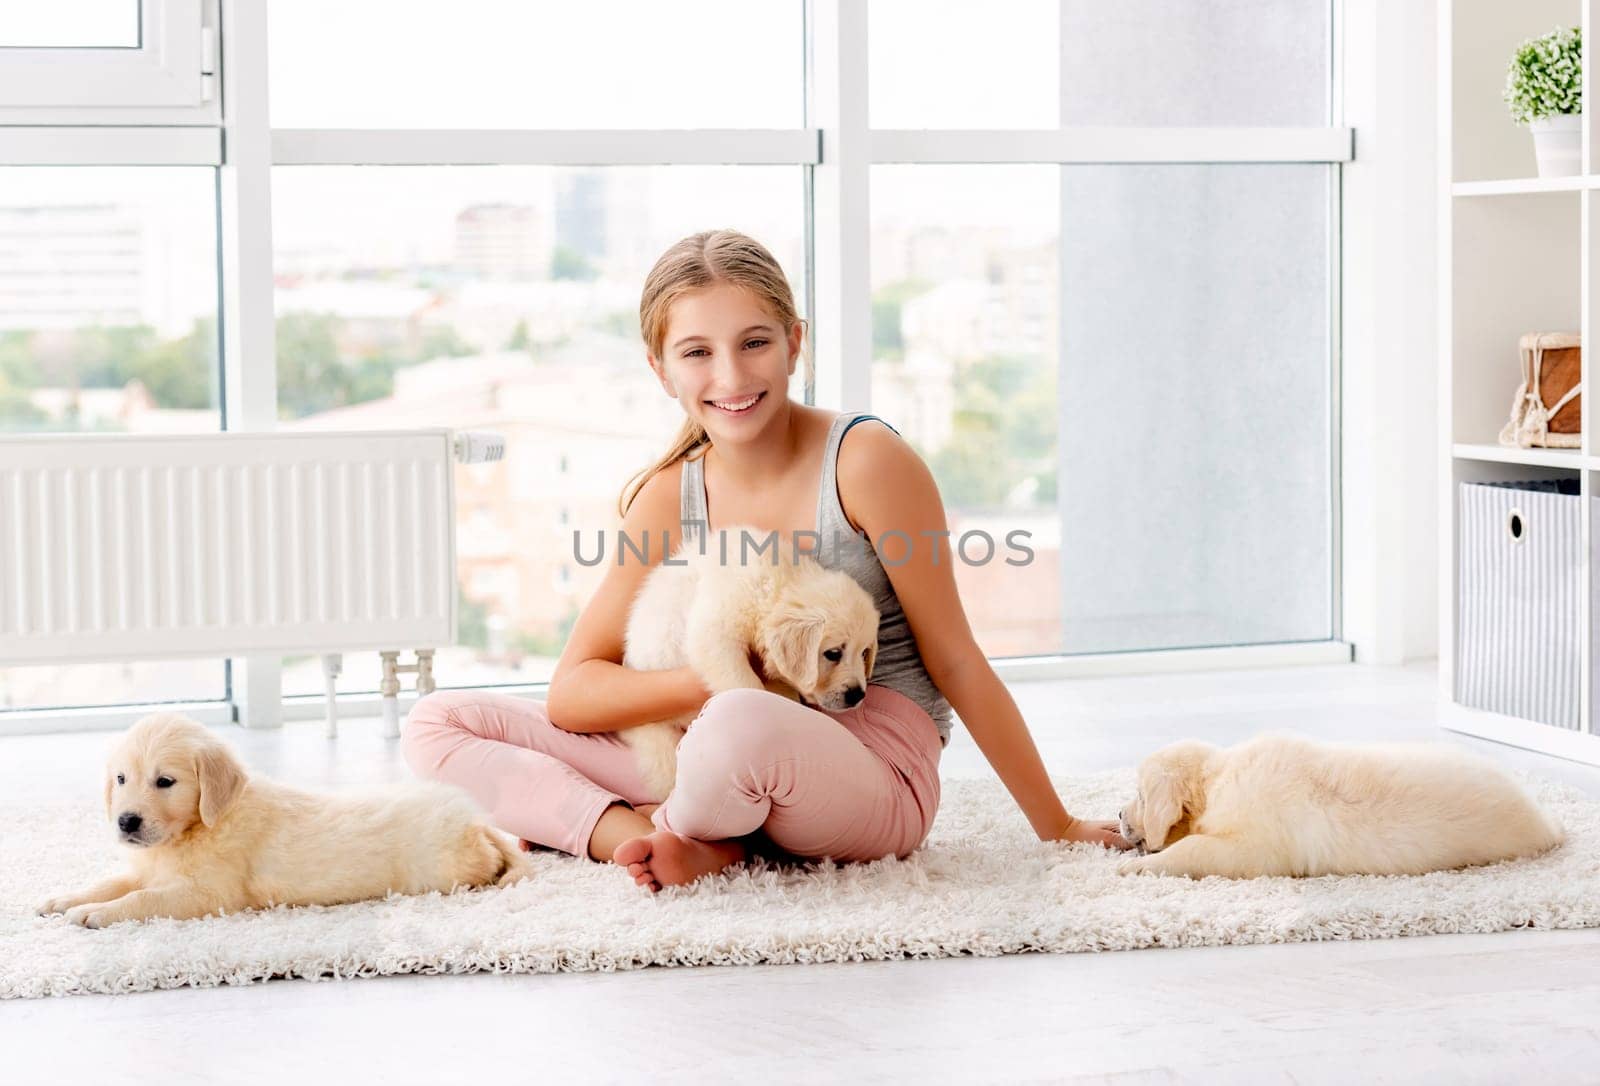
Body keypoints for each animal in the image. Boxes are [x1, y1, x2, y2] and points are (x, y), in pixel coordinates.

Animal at [36, 713, 531, 927]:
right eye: (121, 778)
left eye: (165, 781)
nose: (126, 822)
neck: (201, 827)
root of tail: (474, 820)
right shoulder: (148, 867)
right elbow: (112, 882)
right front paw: (66, 899)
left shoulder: (207, 894)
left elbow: (142, 900)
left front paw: (94, 914)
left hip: (443, 867)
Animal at [617, 521, 883, 802]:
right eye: (833, 653)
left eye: (864, 653)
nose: (857, 695)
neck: (775, 585)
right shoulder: (715, 632)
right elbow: (748, 688)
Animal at [1113, 729, 1561, 882]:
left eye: (1140, 796)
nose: (1117, 815)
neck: (1216, 780)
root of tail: (1547, 824)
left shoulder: (1252, 850)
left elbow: (1192, 849)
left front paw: (1138, 867)